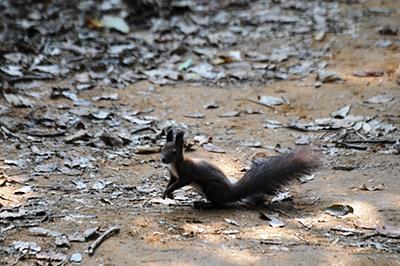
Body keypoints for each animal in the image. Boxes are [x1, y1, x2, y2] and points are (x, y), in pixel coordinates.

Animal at [161, 130, 320, 209]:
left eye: (174, 151)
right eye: (162, 148)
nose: (163, 159)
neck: (175, 164)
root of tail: (231, 192)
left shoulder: (185, 175)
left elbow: (179, 183)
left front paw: (167, 193)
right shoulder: (173, 175)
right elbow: (171, 182)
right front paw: (168, 194)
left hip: (212, 187)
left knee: (219, 204)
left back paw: (203, 205)